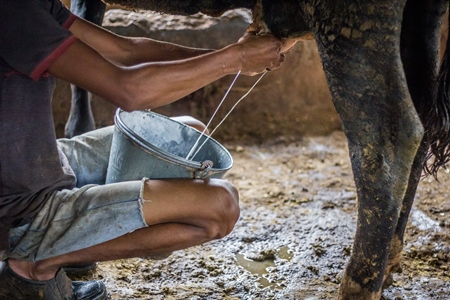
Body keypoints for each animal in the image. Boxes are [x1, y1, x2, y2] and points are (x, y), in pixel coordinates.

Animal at [69, 0, 450, 298]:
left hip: (351, 22)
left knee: (387, 137)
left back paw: (357, 284)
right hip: (419, 23)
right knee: (422, 120)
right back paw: (390, 260)